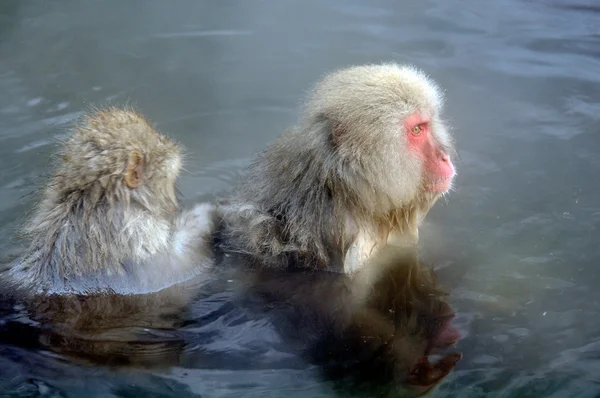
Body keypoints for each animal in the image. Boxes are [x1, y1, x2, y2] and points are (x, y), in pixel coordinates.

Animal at [2, 105, 218, 296]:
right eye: (159, 141)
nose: (172, 143)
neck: (94, 206)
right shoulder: (134, 238)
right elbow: (170, 270)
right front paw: (205, 215)